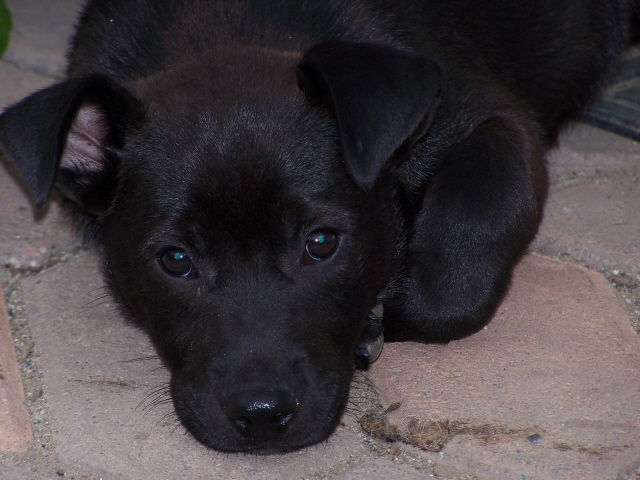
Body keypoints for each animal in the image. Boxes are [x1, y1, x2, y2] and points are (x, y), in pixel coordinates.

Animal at [0, 0, 636, 454]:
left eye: (322, 243)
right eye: (175, 260)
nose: (262, 419)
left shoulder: (496, 119)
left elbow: (452, 281)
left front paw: (379, 316)